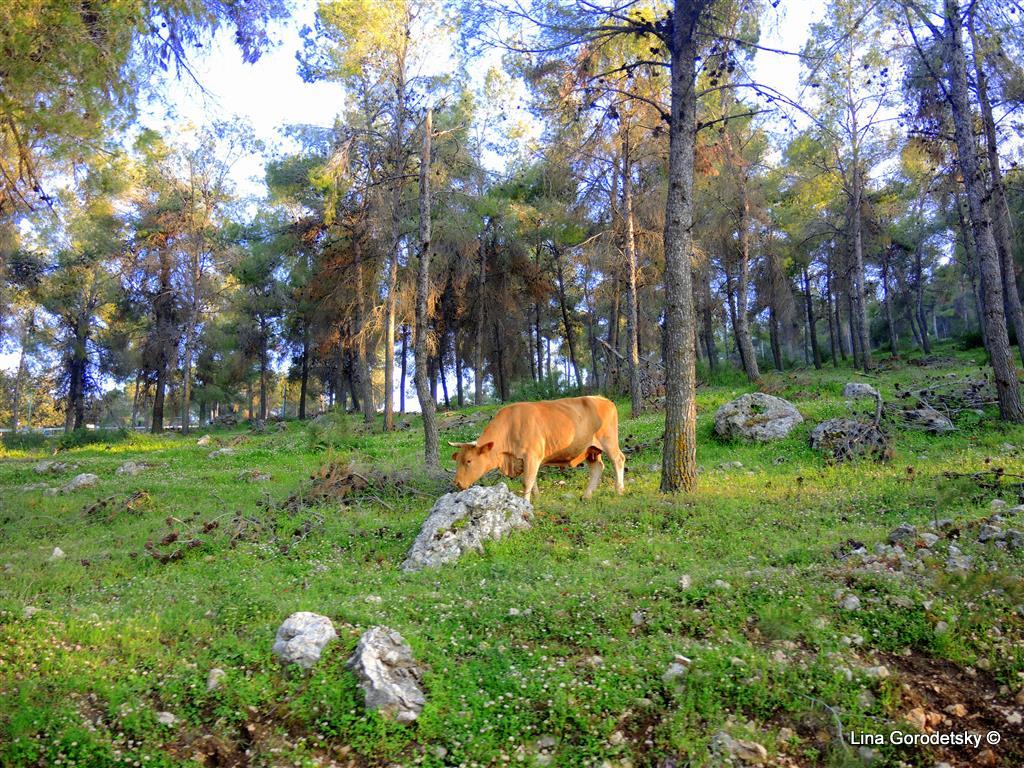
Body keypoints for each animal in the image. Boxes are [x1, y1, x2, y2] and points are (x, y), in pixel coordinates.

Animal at [448, 395, 626, 500]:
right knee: (597, 468)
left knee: (618, 460)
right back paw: (587, 495)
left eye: (469, 461)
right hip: (590, 450)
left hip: (609, 441)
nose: (456, 482)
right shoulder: (526, 460)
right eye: (457, 461)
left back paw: (619, 490)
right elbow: (532, 480)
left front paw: (525, 503)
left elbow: (527, 482)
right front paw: (537, 498)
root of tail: (603, 399)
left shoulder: (532, 456)